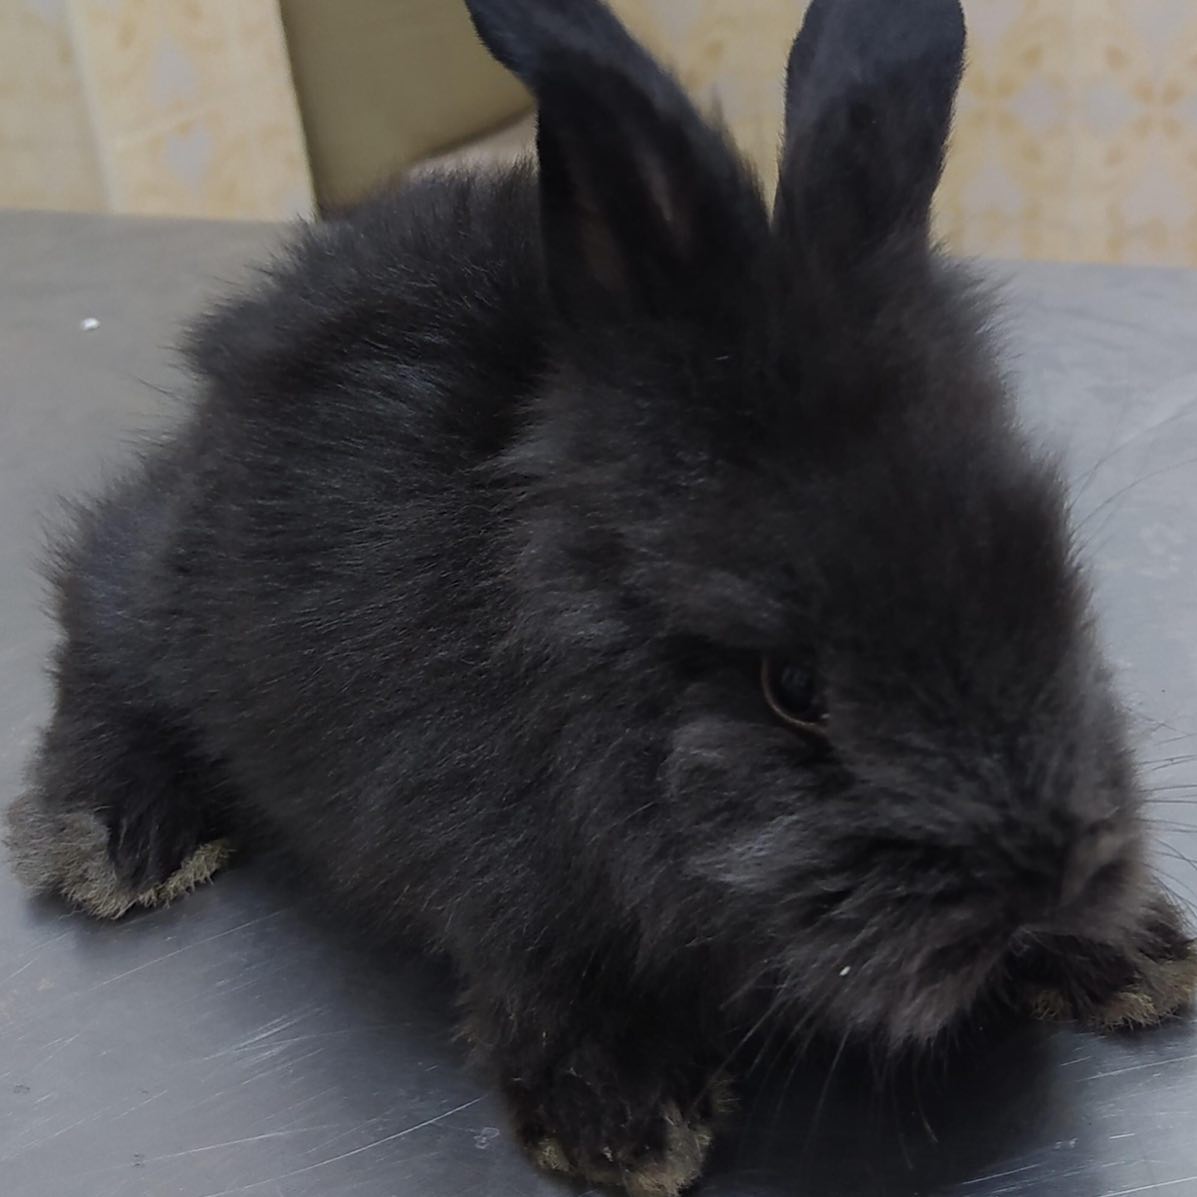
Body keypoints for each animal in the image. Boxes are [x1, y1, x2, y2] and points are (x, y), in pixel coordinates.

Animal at [6, 0, 1196, 1193]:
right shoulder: (503, 877)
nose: (1052, 879)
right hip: (179, 604)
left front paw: (1135, 955)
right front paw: (623, 1124)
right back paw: (113, 835)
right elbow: (553, 981)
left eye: (1048, 571)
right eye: (794, 687)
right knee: (97, 602)